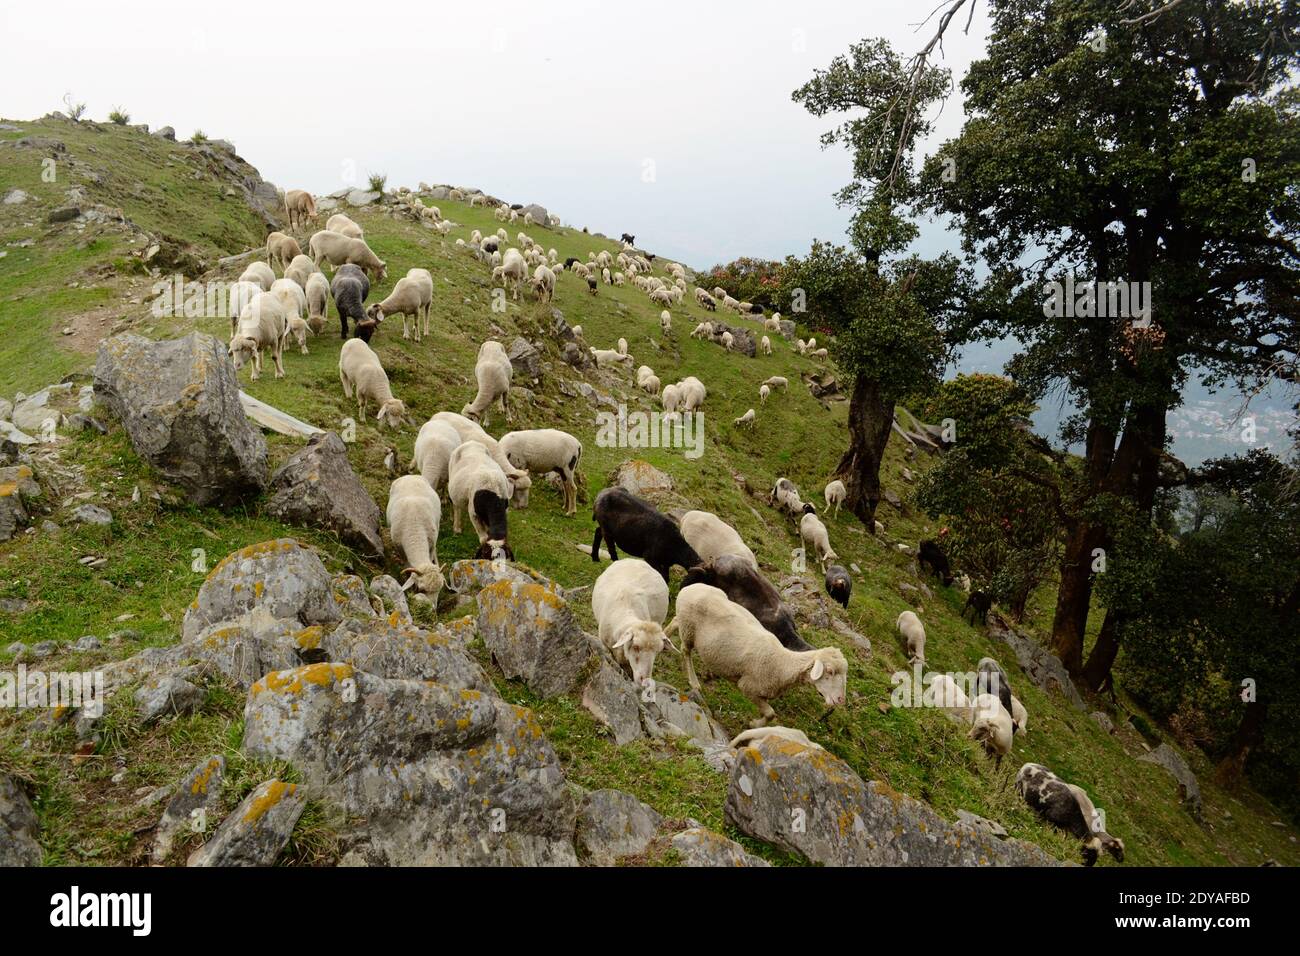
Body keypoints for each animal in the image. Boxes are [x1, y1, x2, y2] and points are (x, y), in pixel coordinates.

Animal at [665, 580, 847, 728]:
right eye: (830, 671)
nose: (840, 700)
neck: (782, 663)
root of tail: (690, 587)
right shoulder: (748, 687)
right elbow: (771, 713)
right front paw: (754, 724)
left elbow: (770, 714)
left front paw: (755, 723)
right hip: (689, 629)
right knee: (686, 651)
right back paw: (694, 682)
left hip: (684, 622)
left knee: (674, 622)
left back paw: (665, 638)